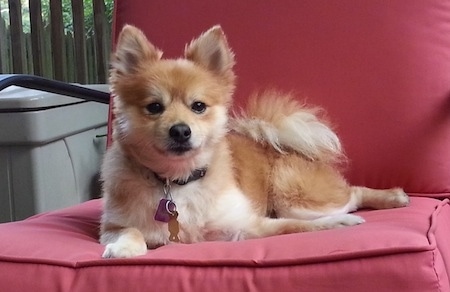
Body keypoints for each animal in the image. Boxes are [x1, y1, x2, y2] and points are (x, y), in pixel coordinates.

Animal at [100, 24, 410, 258]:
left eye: (198, 106)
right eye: (154, 107)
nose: (180, 131)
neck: (178, 181)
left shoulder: (246, 225)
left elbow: (294, 227)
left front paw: (336, 224)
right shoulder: (112, 224)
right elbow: (130, 230)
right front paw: (124, 247)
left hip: (294, 196)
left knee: (351, 195)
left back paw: (391, 197)